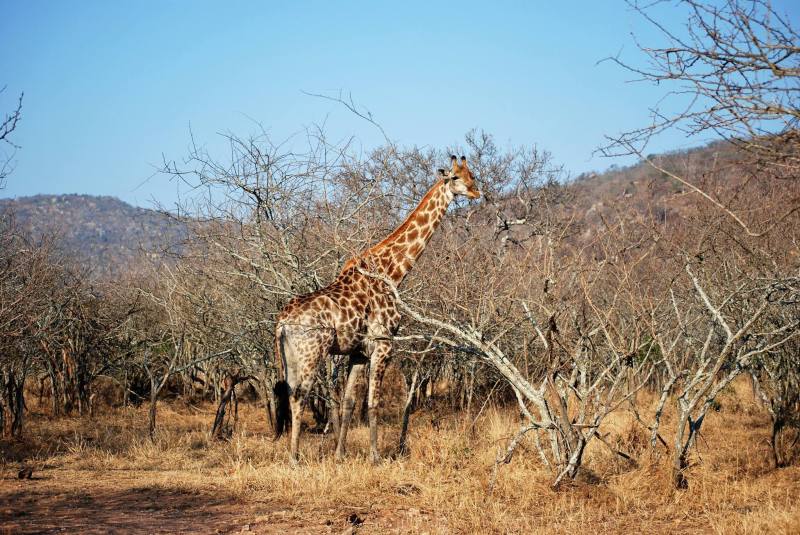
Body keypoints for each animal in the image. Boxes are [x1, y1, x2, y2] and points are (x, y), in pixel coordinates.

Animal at [273, 155, 480, 463]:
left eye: (472, 175)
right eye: (455, 177)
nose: (477, 192)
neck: (392, 272)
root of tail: (282, 322)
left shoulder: (358, 352)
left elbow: (349, 402)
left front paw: (340, 455)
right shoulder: (384, 343)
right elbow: (373, 402)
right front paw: (375, 456)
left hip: (290, 355)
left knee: (290, 393)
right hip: (312, 351)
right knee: (300, 395)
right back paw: (294, 459)